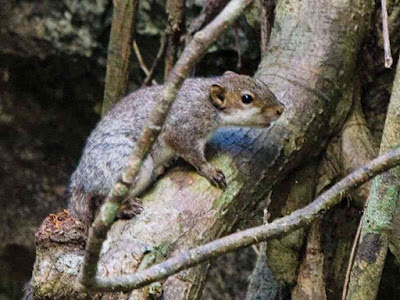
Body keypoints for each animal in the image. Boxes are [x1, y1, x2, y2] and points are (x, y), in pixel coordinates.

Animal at [67, 71, 282, 229]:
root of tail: (82, 180)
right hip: (128, 166)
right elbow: (191, 154)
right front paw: (209, 170)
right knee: (100, 206)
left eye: (261, 83)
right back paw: (124, 208)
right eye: (246, 98)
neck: (207, 103)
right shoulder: (182, 127)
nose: (281, 109)